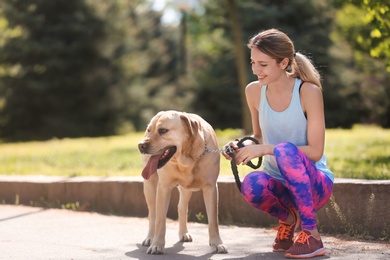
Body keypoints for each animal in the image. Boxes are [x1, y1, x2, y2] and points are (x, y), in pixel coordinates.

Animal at [138, 110, 227, 255]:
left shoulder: (211, 187)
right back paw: (150, 238)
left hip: (186, 190)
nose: (140, 145)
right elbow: (160, 219)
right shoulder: (163, 187)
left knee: (182, 207)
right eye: (149, 130)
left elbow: (213, 219)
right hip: (150, 186)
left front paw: (217, 243)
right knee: (152, 213)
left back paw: (184, 233)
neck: (186, 159)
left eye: (163, 130)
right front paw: (157, 244)